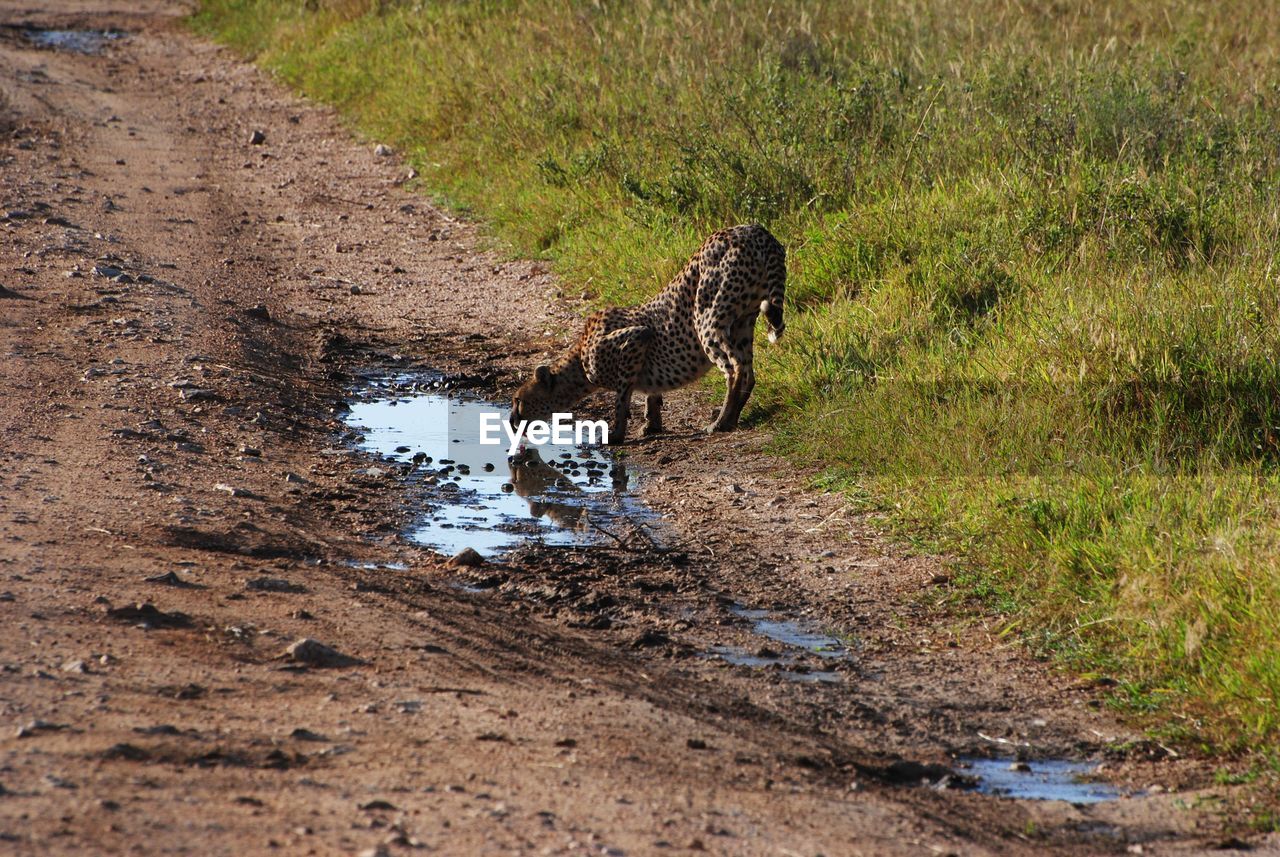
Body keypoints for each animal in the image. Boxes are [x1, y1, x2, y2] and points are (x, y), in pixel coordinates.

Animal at [509, 223, 778, 442]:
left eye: (518, 400)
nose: (511, 422)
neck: (578, 364)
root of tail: (754, 230)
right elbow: (650, 394)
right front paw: (651, 425)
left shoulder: (636, 338)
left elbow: (621, 397)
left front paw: (616, 435)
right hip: (744, 321)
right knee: (748, 370)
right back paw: (734, 416)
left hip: (708, 318)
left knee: (734, 369)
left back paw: (721, 422)